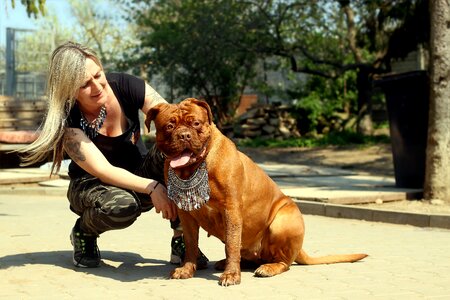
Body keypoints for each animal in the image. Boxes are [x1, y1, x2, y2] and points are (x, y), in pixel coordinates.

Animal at [146, 98, 368, 286]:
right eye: (169, 126)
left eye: (196, 124)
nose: (184, 135)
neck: (197, 166)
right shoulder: (187, 215)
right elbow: (191, 244)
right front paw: (187, 269)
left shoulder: (231, 210)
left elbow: (232, 244)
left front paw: (231, 275)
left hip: (282, 222)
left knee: (284, 262)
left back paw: (267, 267)